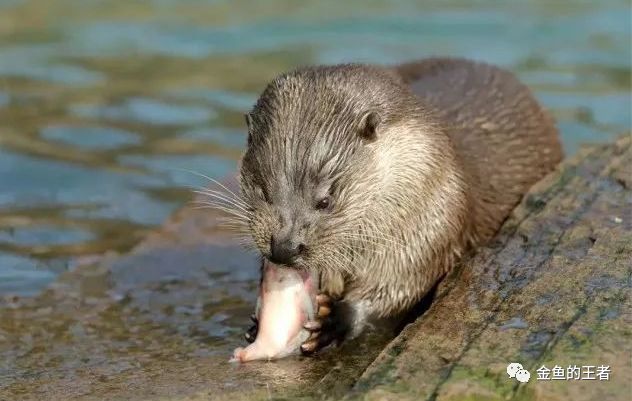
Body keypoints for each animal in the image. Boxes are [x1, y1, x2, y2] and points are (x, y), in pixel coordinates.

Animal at [236, 57, 556, 352]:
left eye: (325, 200)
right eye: (263, 191)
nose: (284, 248)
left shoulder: (429, 222)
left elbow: (400, 285)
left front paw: (335, 319)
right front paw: (256, 324)